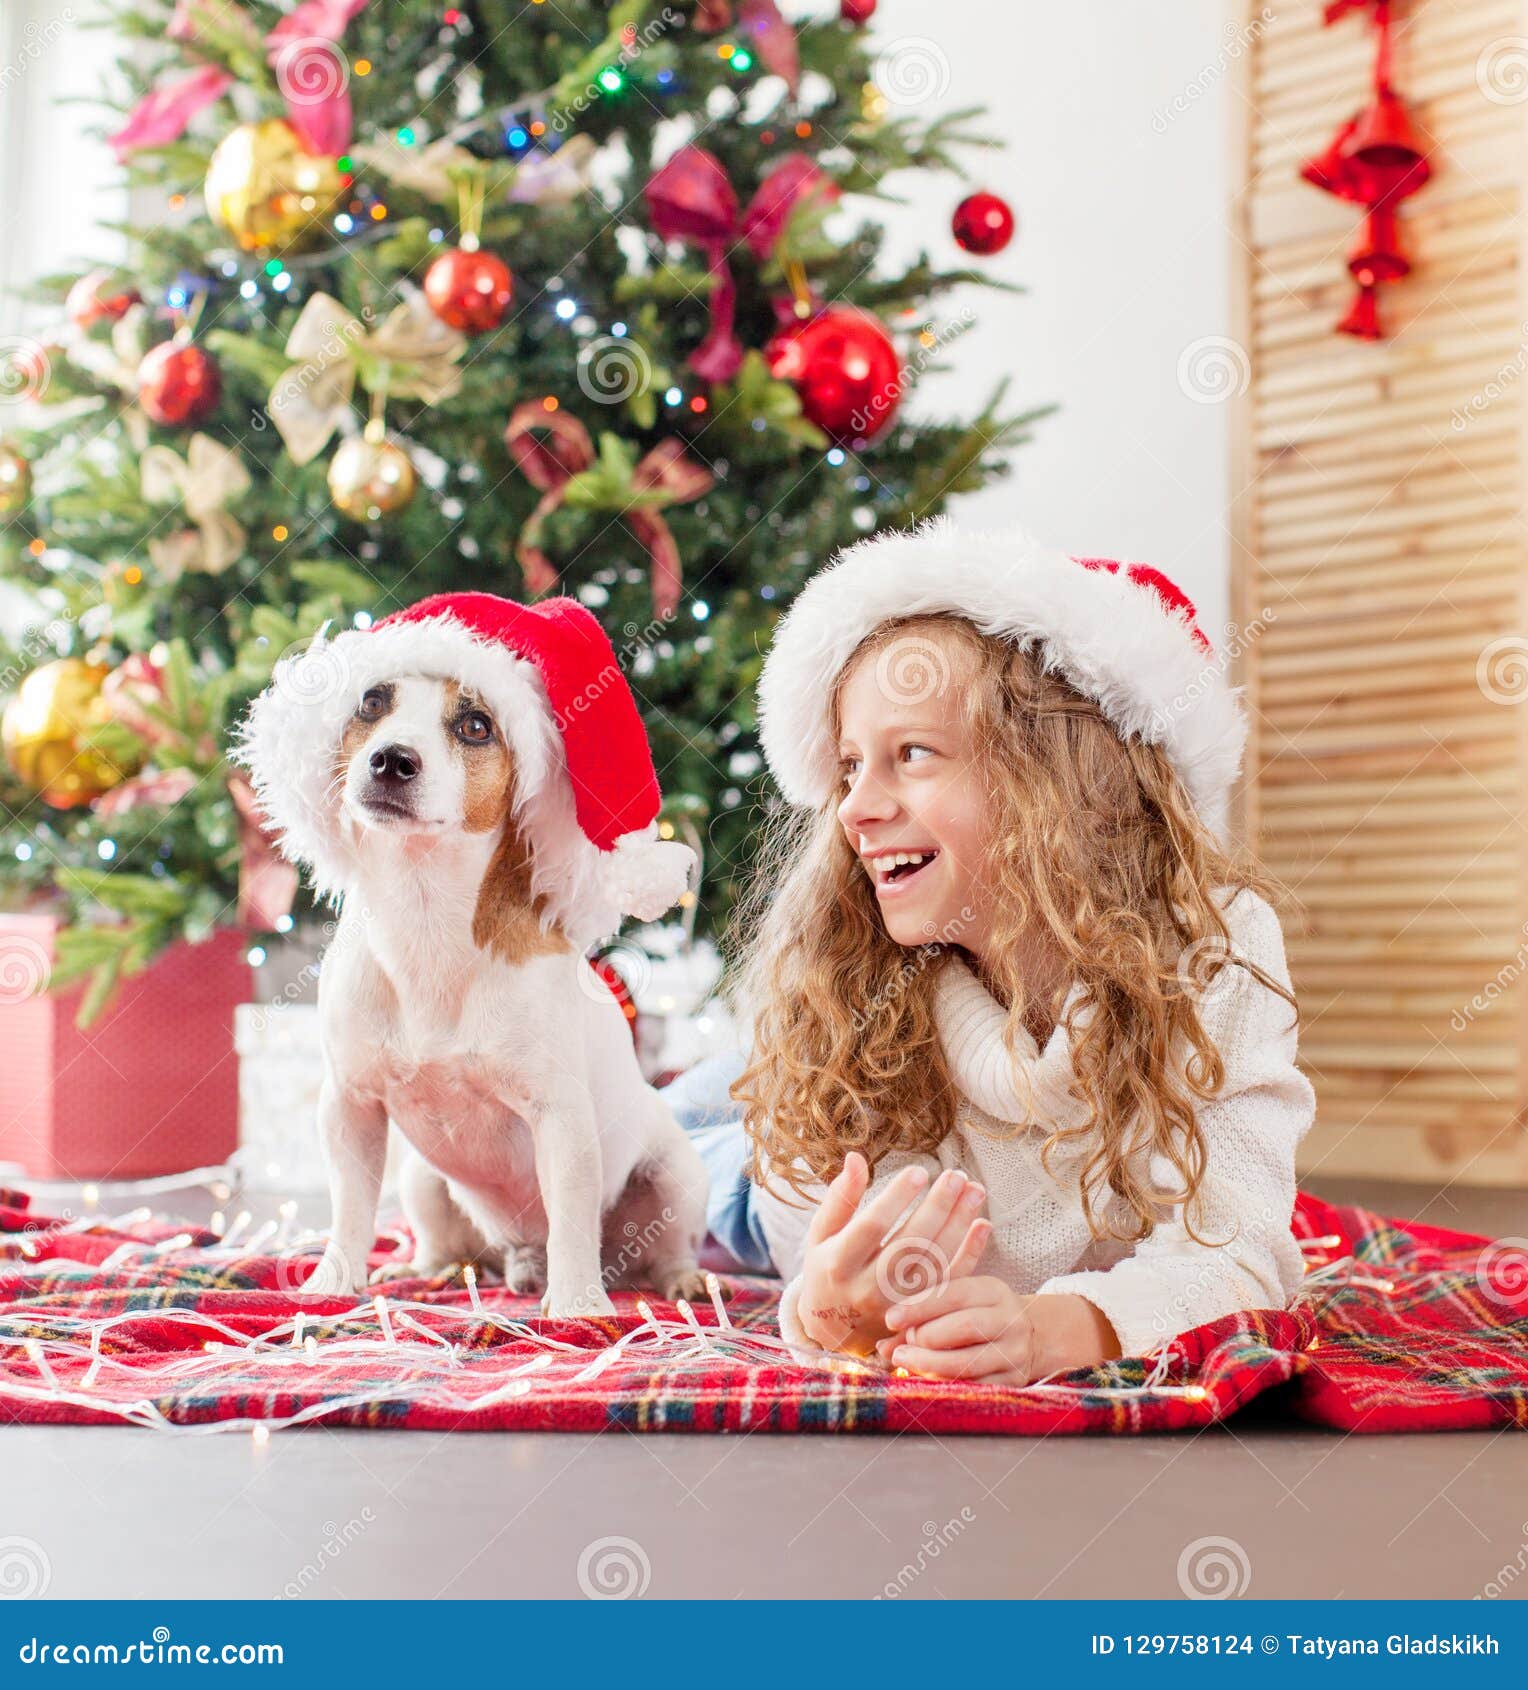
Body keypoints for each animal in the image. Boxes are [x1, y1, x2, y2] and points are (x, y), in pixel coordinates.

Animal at [234, 594, 713, 1318]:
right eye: (370, 701)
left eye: (476, 725)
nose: (391, 760)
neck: (424, 915)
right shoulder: (350, 1105)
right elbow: (351, 1207)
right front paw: (334, 1282)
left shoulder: (560, 1119)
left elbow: (571, 1219)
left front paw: (578, 1307)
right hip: (422, 1178)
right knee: (448, 1241)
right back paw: (432, 1269)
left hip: (675, 1176)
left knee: (664, 1248)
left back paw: (676, 1281)